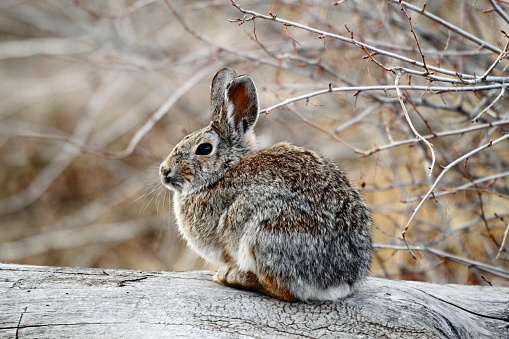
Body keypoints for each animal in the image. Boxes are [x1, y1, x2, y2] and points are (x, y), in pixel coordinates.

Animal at [161, 67, 372, 302]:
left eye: (204, 149)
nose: (164, 171)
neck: (224, 172)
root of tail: (340, 281)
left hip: (266, 231)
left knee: (284, 291)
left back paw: (231, 277)